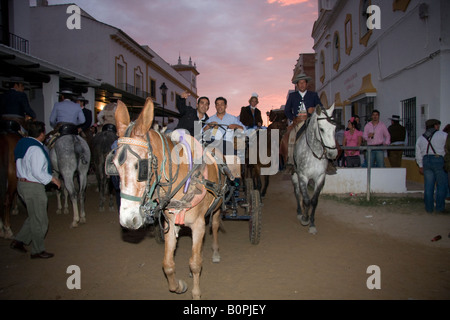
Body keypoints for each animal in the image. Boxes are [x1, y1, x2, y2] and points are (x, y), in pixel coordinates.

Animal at [292, 104, 338, 234]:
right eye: (321, 129)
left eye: (334, 128)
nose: (333, 154)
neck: (314, 152)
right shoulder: (302, 176)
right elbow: (307, 200)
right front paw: (305, 218)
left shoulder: (320, 177)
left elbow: (314, 201)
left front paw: (312, 223)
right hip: (295, 175)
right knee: (297, 192)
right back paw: (299, 212)